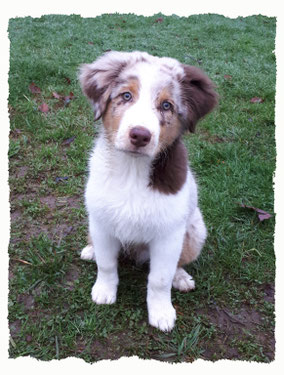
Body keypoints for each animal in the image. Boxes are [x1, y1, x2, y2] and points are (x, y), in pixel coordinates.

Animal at [77, 50, 217, 332]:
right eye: (126, 96)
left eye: (166, 106)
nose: (140, 135)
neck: (131, 171)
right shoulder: (102, 222)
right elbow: (106, 264)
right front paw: (104, 291)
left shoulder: (168, 235)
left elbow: (159, 279)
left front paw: (161, 313)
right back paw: (91, 250)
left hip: (196, 229)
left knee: (177, 263)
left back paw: (181, 278)